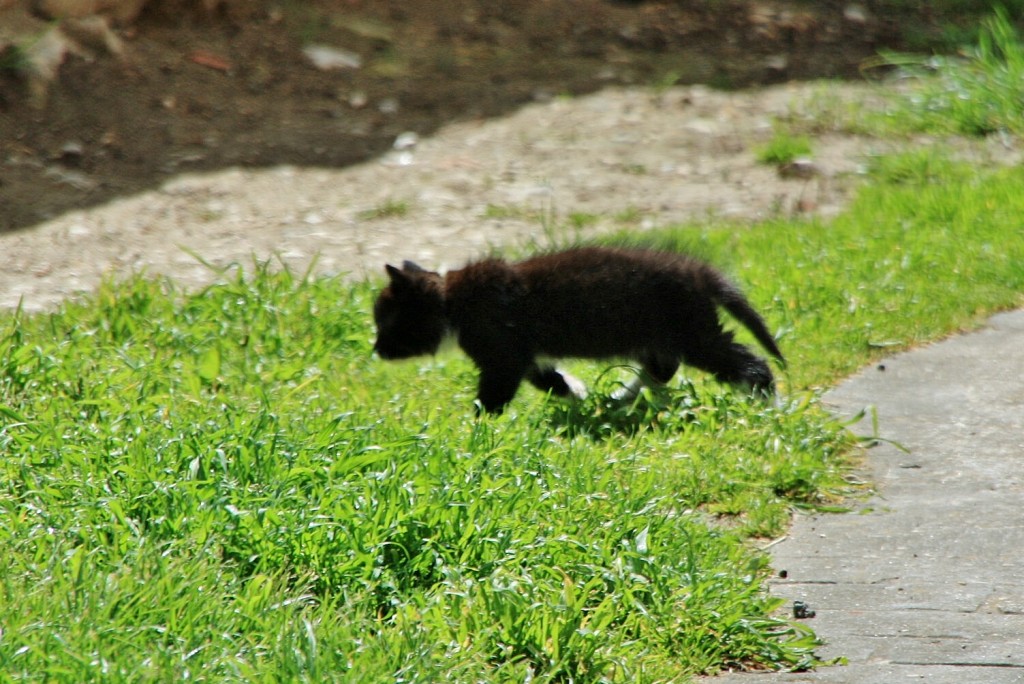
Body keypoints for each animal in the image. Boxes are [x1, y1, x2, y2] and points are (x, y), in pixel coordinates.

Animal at [376, 248, 782, 413]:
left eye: (386, 322)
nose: (376, 350)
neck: (453, 302)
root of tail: (699, 271)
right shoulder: (525, 356)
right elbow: (550, 381)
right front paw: (580, 395)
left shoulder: (502, 357)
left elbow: (493, 396)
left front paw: (478, 429)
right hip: (657, 335)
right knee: (662, 368)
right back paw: (619, 400)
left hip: (693, 333)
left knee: (750, 363)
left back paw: (768, 404)